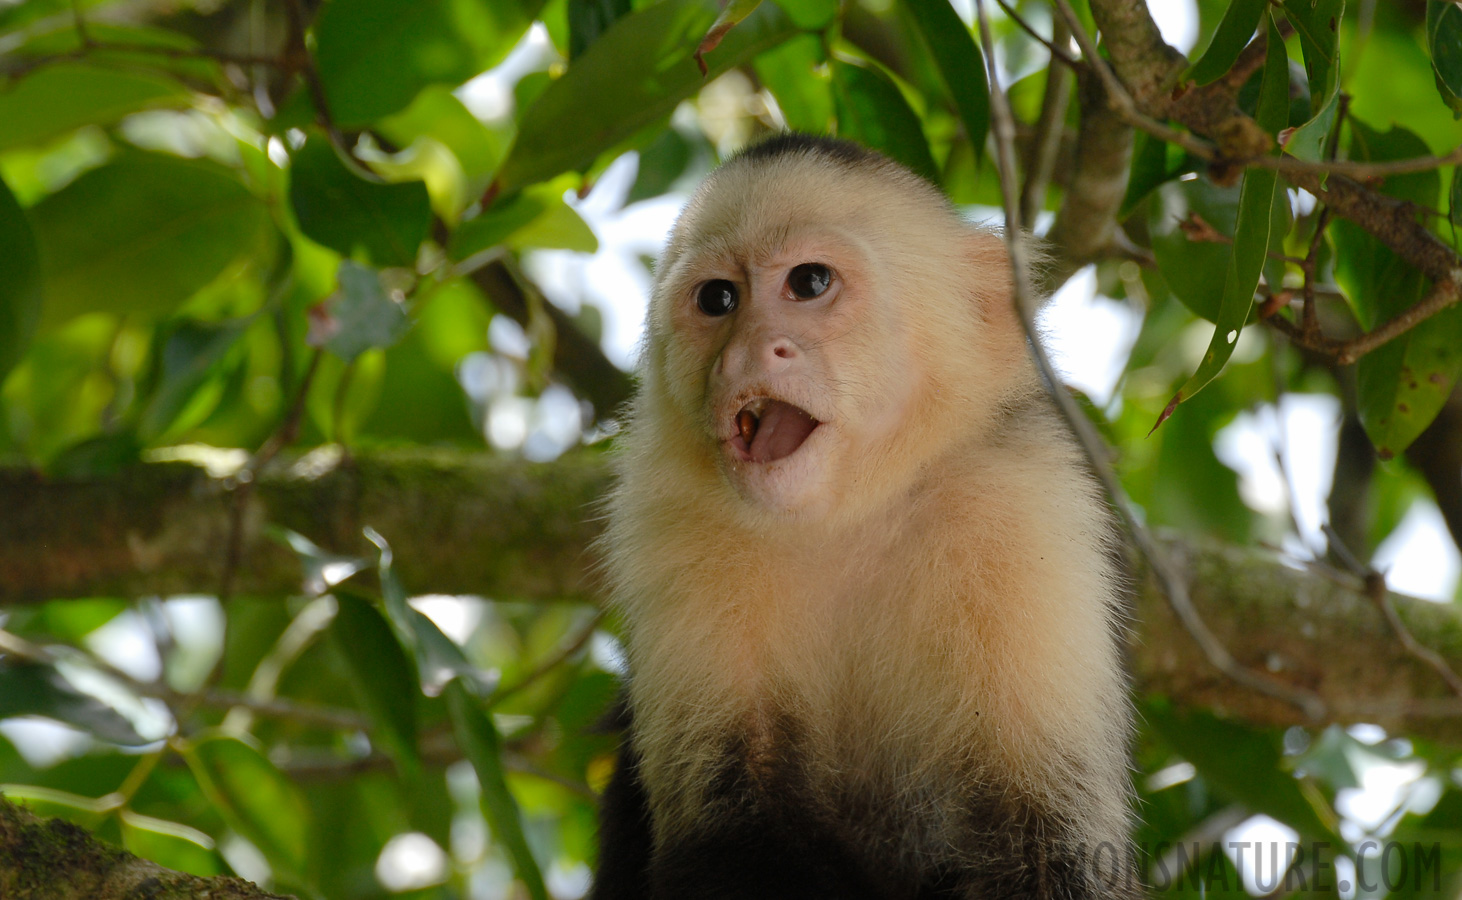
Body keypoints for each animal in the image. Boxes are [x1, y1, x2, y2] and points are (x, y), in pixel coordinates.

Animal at [593, 135, 1140, 900]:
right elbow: (726, 836)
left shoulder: (1024, 503)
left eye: (810, 282)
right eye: (718, 299)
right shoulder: (666, 521)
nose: (744, 355)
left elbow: (1046, 841)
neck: (850, 517)